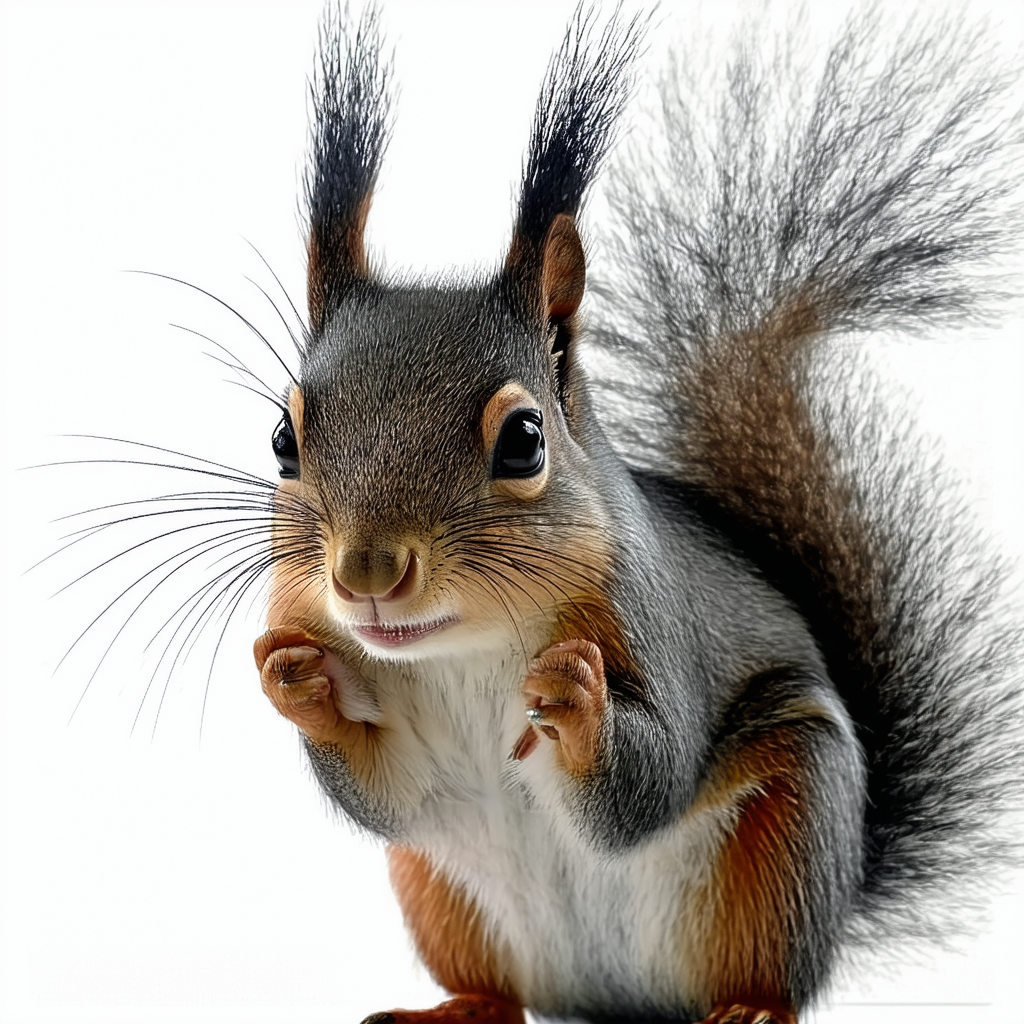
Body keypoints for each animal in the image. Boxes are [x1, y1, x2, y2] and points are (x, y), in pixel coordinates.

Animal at [249, 5, 1023, 1024]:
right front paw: (294, 681)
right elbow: (392, 797)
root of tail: (612, 997)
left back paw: (752, 1008)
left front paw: (575, 694)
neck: (462, 649)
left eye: (525, 441)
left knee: (764, 965)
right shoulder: (403, 768)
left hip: (784, 844)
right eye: (281, 439)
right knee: (495, 985)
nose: (367, 575)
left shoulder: (651, 620)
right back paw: (454, 1007)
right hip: (441, 894)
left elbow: (645, 787)